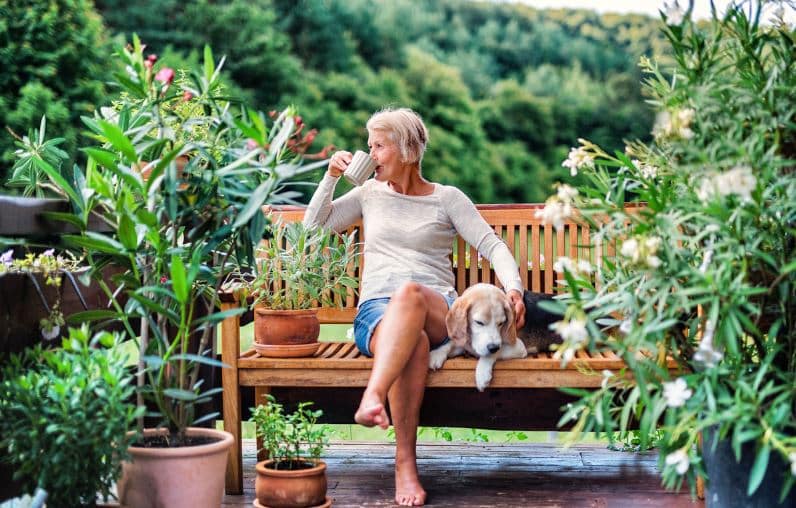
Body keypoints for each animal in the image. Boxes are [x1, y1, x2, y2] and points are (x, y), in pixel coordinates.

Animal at [432, 284, 564, 390]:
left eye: (501, 323)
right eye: (479, 322)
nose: (493, 347)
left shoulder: (518, 347)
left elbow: (493, 353)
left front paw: (482, 373)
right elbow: (451, 344)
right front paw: (436, 354)